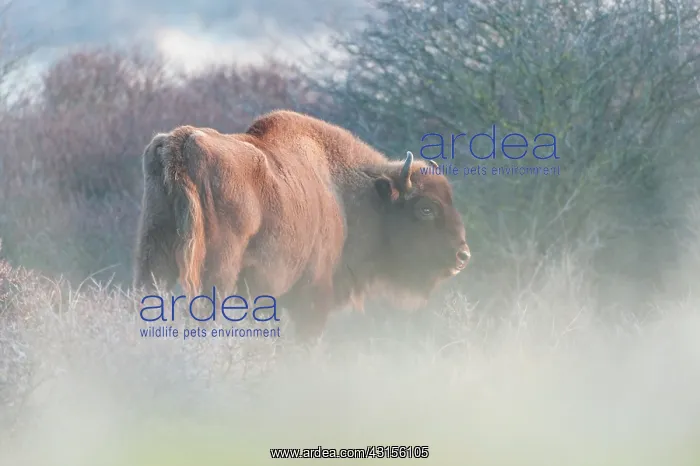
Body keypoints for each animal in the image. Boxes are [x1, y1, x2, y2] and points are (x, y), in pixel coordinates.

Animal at [133, 110, 470, 338]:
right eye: (426, 208)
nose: (462, 255)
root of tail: (181, 143)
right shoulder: (312, 297)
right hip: (216, 273)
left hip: (154, 262)